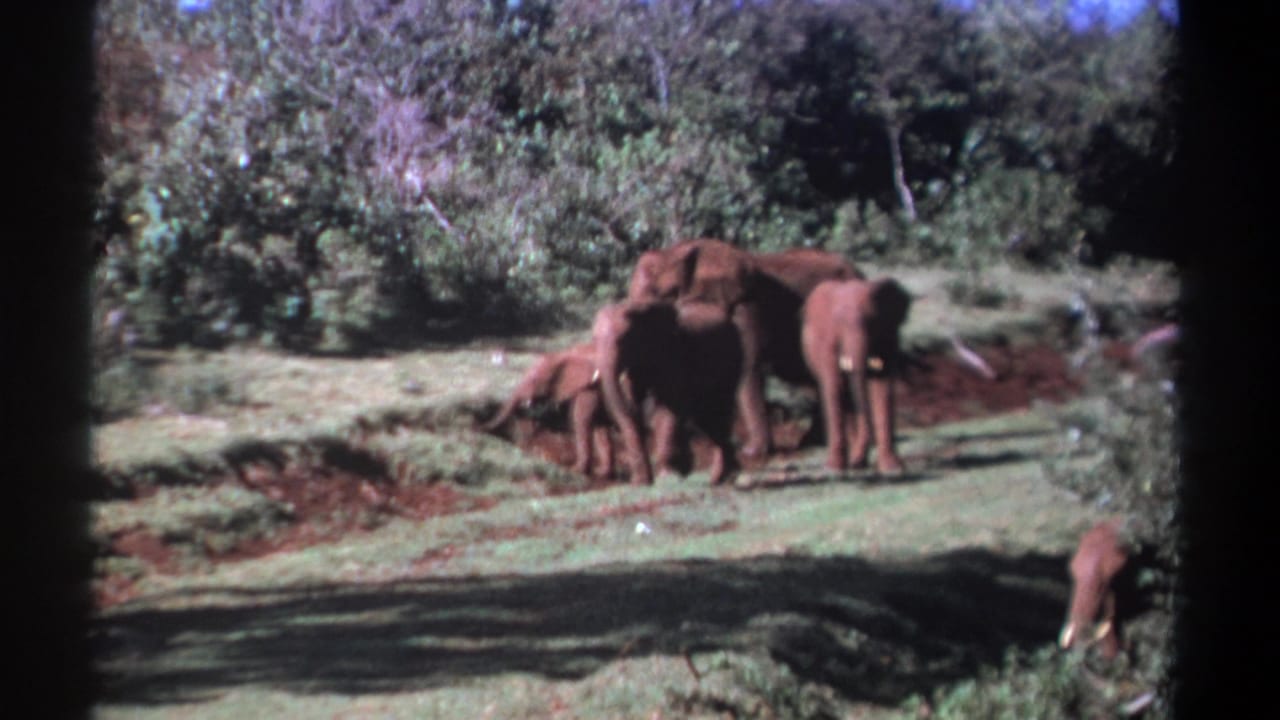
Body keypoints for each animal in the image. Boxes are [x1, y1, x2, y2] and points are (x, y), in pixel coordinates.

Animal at [481, 343, 615, 478]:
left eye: (535, 380)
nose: (479, 428)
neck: (561, 356)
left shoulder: (589, 389)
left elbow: (582, 421)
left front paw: (576, 470)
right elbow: (599, 426)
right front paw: (601, 472)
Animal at [592, 297, 747, 486]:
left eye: (622, 340)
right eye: (594, 340)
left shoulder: (672, 355)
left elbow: (668, 410)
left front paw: (666, 477)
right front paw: (641, 482)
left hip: (734, 358)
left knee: (719, 410)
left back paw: (724, 477)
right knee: (706, 418)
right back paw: (720, 478)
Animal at [800, 277, 912, 474]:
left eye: (873, 321)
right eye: (838, 322)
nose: (858, 462)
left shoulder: (889, 338)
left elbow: (883, 388)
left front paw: (893, 467)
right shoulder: (827, 344)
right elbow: (834, 385)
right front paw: (833, 468)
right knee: (844, 397)